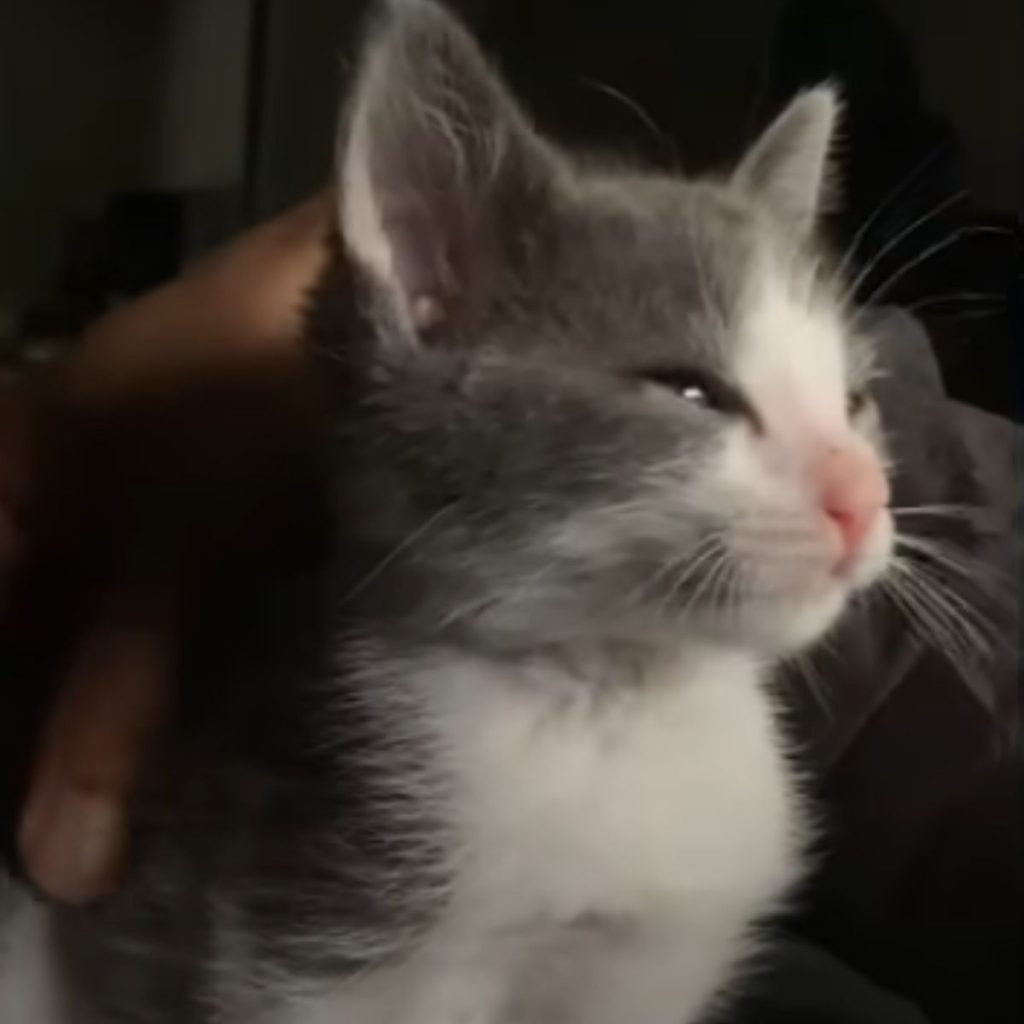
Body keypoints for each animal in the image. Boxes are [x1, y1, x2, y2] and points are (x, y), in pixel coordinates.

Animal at [2, 2, 897, 1024]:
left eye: (856, 402)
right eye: (692, 391)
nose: (862, 495)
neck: (620, 712)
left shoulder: (648, 972)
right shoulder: (307, 951)